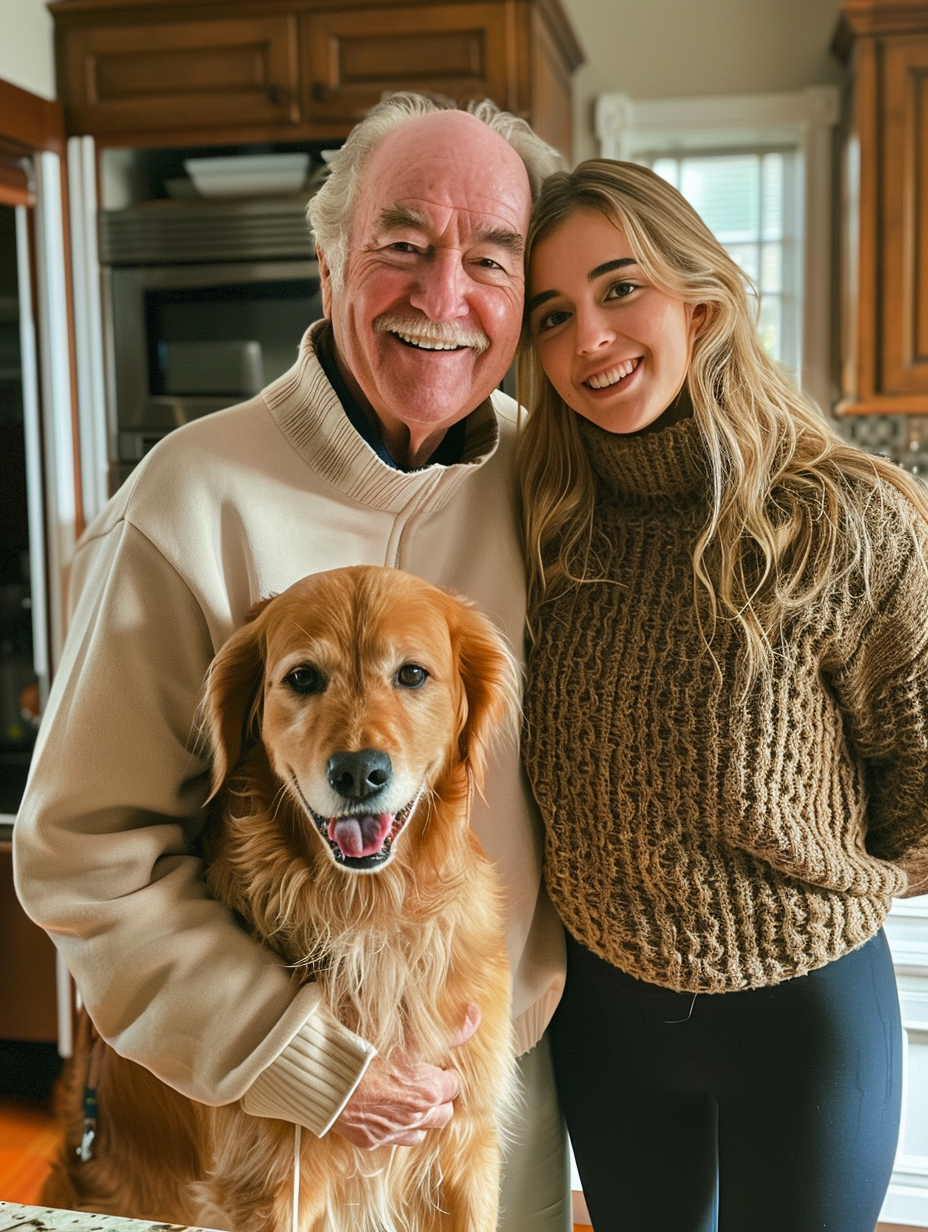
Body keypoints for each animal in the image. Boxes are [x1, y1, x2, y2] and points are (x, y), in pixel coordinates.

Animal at [41, 564, 522, 1232]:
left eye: (412, 674)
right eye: (303, 678)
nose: (358, 772)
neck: (368, 910)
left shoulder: (467, 1141)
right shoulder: (269, 1183)